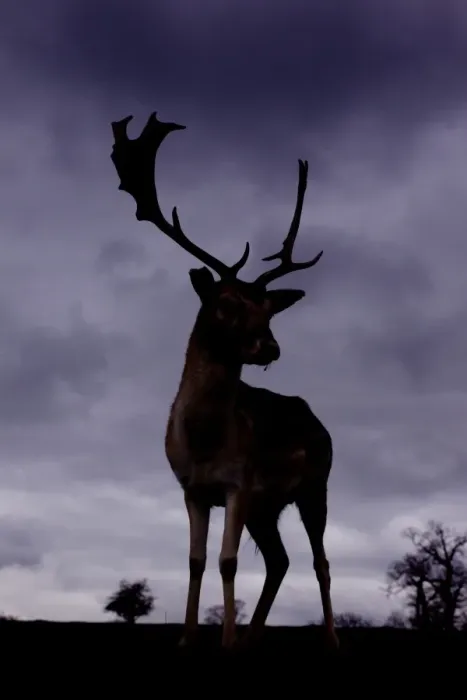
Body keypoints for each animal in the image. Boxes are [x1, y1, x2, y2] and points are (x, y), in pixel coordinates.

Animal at [110, 111, 339, 652]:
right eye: (227, 303)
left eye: (268, 309)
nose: (270, 348)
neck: (204, 443)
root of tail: (318, 420)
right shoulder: (192, 489)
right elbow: (195, 562)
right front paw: (188, 639)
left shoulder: (238, 482)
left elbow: (227, 562)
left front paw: (225, 643)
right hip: (267, 506)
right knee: (280, 560)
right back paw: (254, 637)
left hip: (314, 485)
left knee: (320, 561)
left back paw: (330, 642)